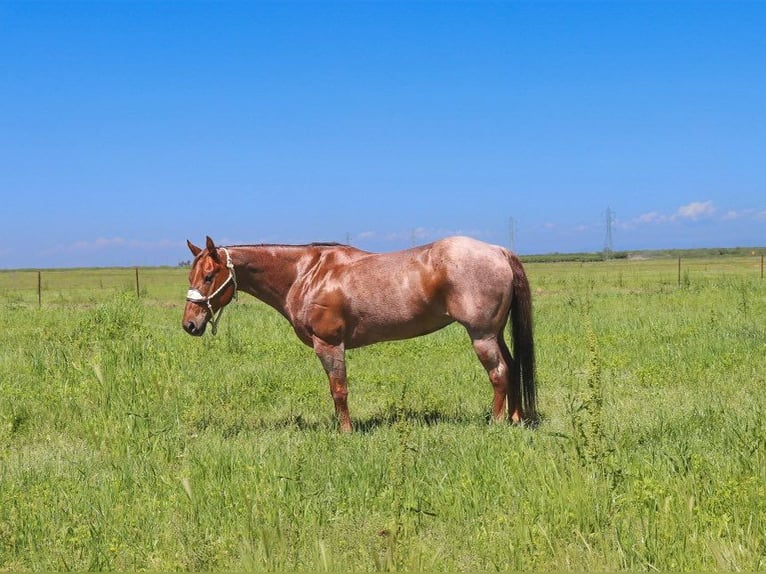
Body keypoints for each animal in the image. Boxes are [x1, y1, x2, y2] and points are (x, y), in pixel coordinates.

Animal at [182, 236, 536, 434]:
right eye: (191, 275)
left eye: (210, 276)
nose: (190, 325)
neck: (305, 274)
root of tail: (499, 251)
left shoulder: (329, 345)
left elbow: (339, 390)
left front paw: (346, 432)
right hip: (495, 333)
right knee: (513, 367)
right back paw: (516, 419)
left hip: (482, 335)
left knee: (499, 374)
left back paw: (496, 424)